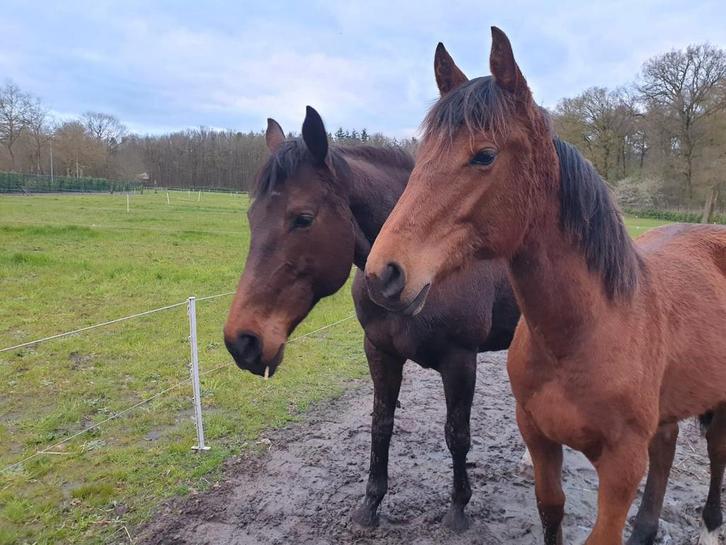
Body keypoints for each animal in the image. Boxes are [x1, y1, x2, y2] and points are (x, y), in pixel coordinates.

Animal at [223, 106, 520, 531]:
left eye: (303, 218)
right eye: (251, 217)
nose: (242, 340)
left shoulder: (461, 361)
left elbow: (457, 434)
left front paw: (458, 509)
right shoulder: (380, 352)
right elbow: (382, 425)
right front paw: (371, 504)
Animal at [364, 27, 726, 545]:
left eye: (485, 155)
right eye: (422, 155)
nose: (383, 273)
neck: (584, 334)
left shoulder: (620, 468)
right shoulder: (538, 438)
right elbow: (550, 510)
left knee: (716, 452)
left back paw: (711, 525)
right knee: (668, 448)